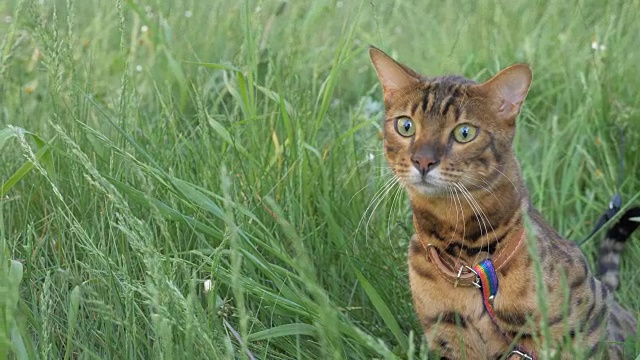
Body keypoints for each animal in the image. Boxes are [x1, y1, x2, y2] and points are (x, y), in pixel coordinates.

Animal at [368, 46, 636, 358]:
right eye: (406, 126)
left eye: (464, 132)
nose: (422, 161)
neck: (468, 262)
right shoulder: (446, 333)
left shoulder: (587, 320)